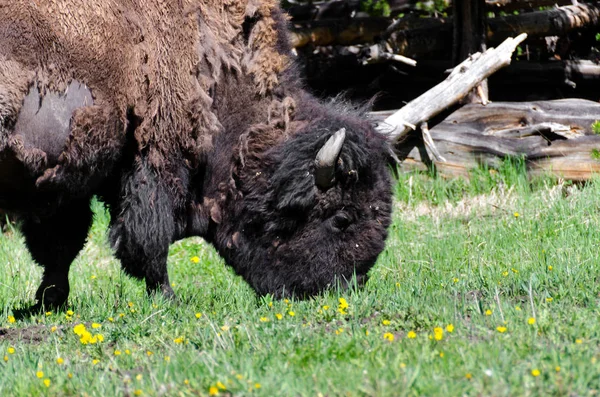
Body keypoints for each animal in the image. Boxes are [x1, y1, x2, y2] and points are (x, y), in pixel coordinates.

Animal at [0, 0, 394, 310]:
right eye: (341, 218)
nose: (344, 290)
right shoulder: (154, 160)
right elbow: (146, 237)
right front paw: (169, 298)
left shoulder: (68, 179)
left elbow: (61, 243)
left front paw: (50, 301)